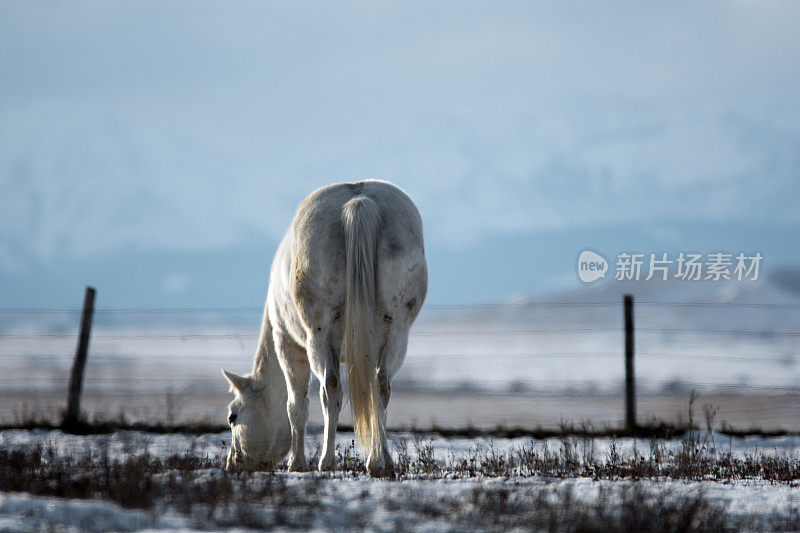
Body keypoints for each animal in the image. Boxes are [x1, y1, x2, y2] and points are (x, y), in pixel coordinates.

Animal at [222, 180, 428, 474]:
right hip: (397, 334)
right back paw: (380, 461)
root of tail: (358, 202)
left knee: (330, 390)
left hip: (319, 337)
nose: (233, 463)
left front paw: (296, 463)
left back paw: (326, 461)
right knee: (381, 387)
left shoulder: (288, 344)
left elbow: (296, 405)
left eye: (233, 416)